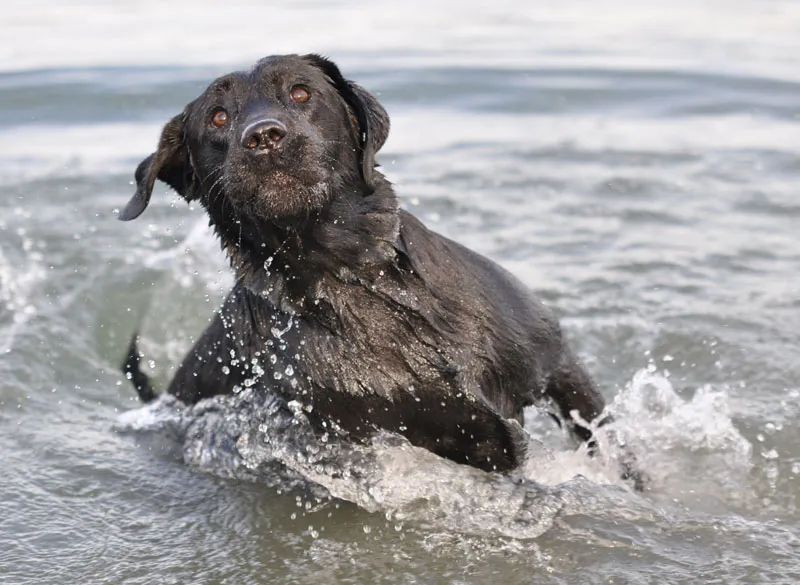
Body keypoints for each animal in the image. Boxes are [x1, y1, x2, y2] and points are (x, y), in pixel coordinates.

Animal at [120, 53, 644, 484]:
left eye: (301, 93)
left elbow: (611, 444)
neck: (355, 281)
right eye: (218, 116)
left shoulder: (559, 366)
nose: (264, 136)